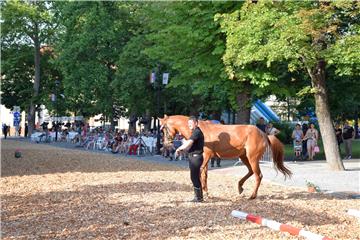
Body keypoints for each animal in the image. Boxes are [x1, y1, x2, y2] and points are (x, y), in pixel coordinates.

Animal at [159, 114, 292, 199]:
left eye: (164, 128)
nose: (166, 144)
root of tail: (264, 134)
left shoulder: (206, 156)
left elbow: (200, 174)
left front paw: (203, 194)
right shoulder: (206, 159)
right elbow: (204, 175)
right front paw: (205, 193)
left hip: (252, 158)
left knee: (258, 175)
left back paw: (252, 196)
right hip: (244, 157)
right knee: (250, 172)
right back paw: (240, 187)